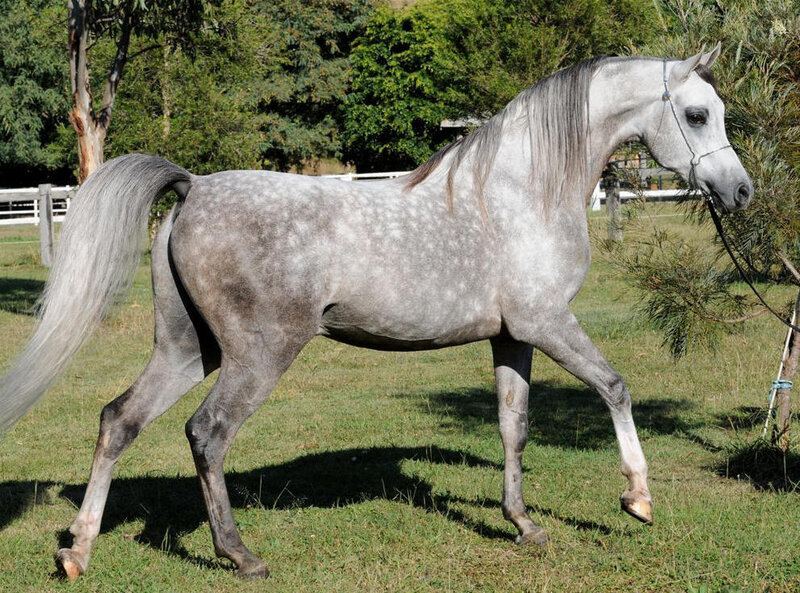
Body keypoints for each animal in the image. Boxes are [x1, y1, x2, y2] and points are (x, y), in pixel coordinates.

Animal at [0, 45, 751, 580]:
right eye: (696, 115)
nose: (739, 191)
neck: (520, 190)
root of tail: (192, 188)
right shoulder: (548, 325)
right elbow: (615, 386)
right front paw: (637, 499)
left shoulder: (513, 338)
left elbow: (513, 428)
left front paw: (524, 525)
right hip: (256, 355)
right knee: (207, 434)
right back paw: (240, 554)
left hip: (188, 349)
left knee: (118, 420)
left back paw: (78, 551)